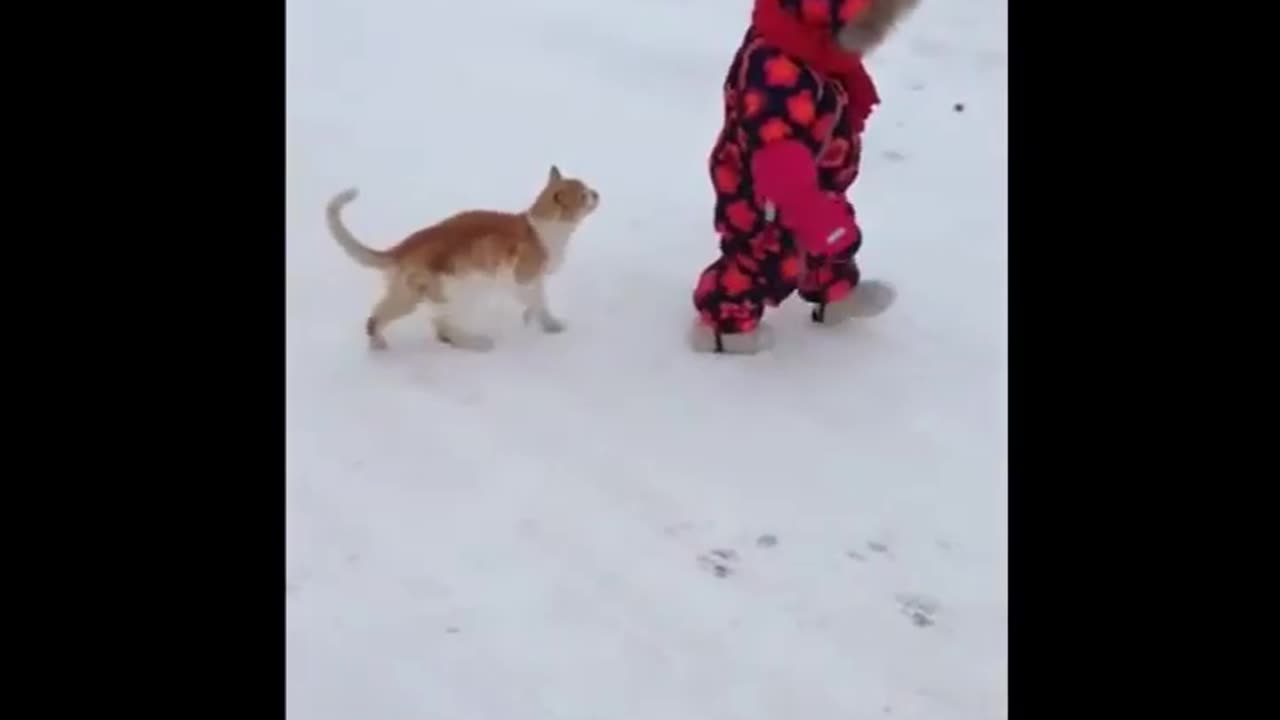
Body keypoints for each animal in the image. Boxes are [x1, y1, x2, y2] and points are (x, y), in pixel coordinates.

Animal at [322, 165, 596, 351]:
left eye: (588, 189)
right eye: (584, 195)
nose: (597, 193)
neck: (544, 228)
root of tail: (402, 247)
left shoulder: (534, 281)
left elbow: (539, 303)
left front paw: (537, 322)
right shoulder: (521, 278)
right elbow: (537, 302)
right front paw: (546, 324)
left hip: (418, 293)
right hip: (450, 292)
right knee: (433, 328)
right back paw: (476, 343)